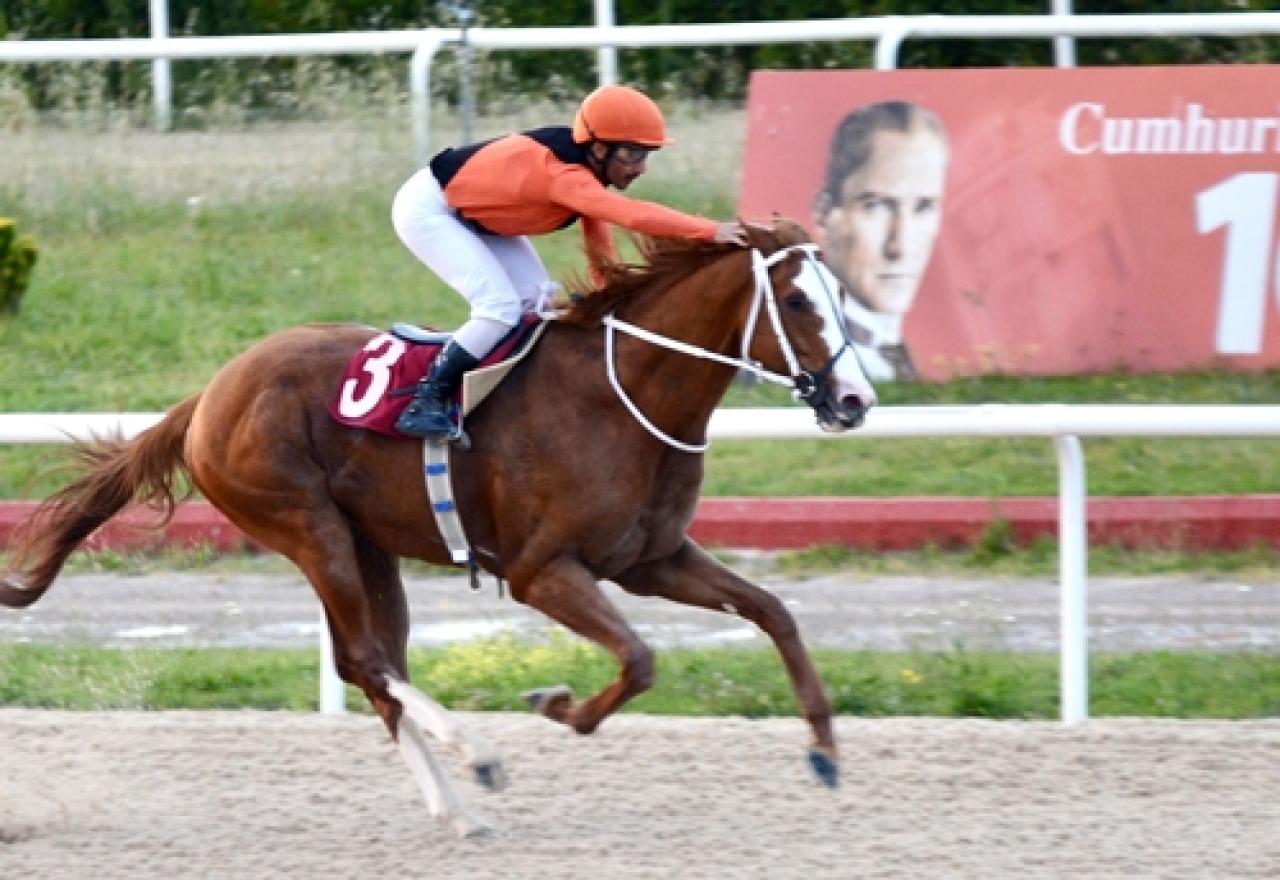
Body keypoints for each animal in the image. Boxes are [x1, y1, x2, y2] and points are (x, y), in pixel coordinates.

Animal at [0, 216, 880, 833]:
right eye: (797, 301)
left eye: (842, 300)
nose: (855, 401)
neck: (623, 392)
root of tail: (208, 395)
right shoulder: (542, 571)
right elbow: (638, 659)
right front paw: (555, 705)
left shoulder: (651, 559)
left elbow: (773, 612)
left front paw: (825, 751)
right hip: (305, 525)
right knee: (367, 659)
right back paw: (477, 758)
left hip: (366, 543)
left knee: (373, 666)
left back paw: (458, 810)